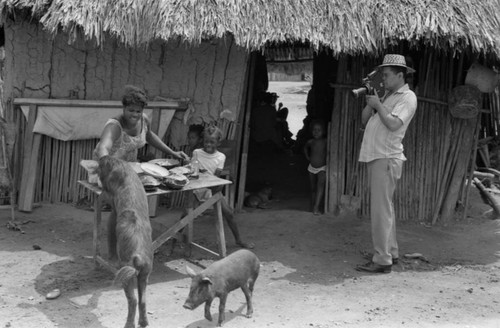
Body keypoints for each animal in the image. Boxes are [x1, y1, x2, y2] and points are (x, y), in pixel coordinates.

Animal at [97, 157, 152, 328]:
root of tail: (139, 256)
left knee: (133, 300)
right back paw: (144, 323)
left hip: (126, 272)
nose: (100, 158)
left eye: (99, 167)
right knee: (143, 300)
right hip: (145, 272)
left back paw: (128, 325)